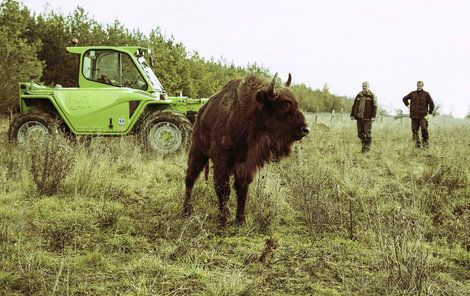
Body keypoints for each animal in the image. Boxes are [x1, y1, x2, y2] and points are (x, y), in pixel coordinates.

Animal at [183, 73, 308, 225]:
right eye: (284, 105)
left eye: (296, 104)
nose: (305, 129)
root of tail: (201, 111)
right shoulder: (221, 161)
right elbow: (223, 190)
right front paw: (222, 220)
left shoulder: (246, 164)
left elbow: (242, 191)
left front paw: (240, 220)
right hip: (197, 152)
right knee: (190, 179)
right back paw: (186, 211)